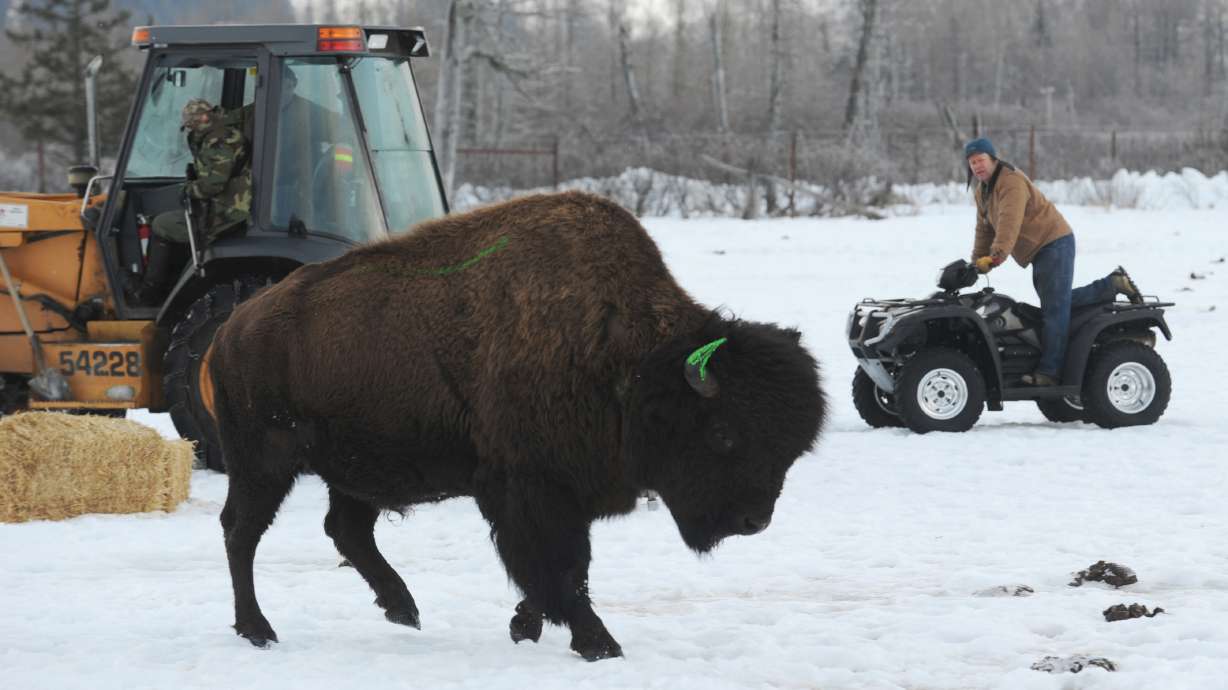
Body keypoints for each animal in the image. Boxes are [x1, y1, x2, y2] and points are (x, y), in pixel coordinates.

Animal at [210, 191, 825, 661]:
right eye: (723, 435)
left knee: (346, 529)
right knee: (242, 532)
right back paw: (259, 630)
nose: (753, 521)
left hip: (354, 468)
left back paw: (403, 609)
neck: (629, 357)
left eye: (791, 450)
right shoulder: (531, 488)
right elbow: (562, 568)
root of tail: (232, 328)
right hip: (264, 462)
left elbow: (553, 571)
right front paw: (600, 645)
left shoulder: (565, 490)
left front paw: (524, 626)